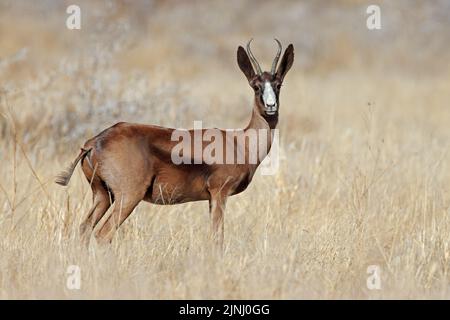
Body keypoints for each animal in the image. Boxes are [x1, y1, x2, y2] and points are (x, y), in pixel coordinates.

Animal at [56, 40, 294, 249]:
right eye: (256, 87)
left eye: (278, 85)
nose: (271, 107)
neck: (239, 143)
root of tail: (94, 142)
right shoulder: (220, 193)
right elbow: (217, 239)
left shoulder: (211, 199)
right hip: (128, 197)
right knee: (103, 234)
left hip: (103, 196)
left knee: (84, 228)